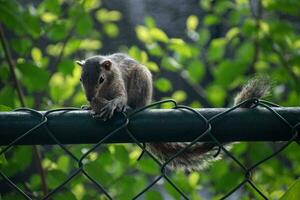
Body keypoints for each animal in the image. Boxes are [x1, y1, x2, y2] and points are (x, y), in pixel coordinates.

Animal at [76, 53, 270, 172]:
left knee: (137, 104)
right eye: (80, 79)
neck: (104, 92)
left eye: (101, 79)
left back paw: (131, 108)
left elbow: (120, 98)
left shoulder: (118, 82)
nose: (89, 97)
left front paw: (113, 105)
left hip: (141, 79)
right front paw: (90, 107)